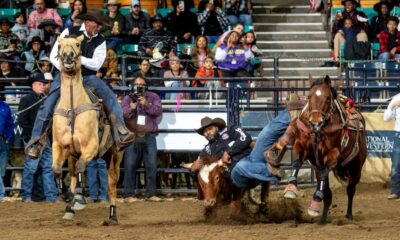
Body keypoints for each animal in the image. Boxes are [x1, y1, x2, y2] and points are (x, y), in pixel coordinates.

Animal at [52, 35, 123, 223]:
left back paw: (112, 215)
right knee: (72, 173)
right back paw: (70, 207)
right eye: (59, 46)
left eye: (78, 45)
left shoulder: (90, 146)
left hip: (115, 156)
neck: (73, 106)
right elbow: (57, 170)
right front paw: (68, 197)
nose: (68, 57)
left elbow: (81, 167)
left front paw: (78, 197)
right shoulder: (59, 146)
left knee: (111, 184)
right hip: (73, 155)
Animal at [276, 76, 366, 224]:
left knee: (350, 189)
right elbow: (296, 163)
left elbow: (325, 177)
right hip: (320, 168)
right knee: (328, 193)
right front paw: (290, 189)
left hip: (356, 167)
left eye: (328, 98)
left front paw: (315, 200)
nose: (315, 122)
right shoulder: (304, 148)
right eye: (309, 96)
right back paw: (322, 219)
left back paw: (348, 215)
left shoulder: (332, 154)